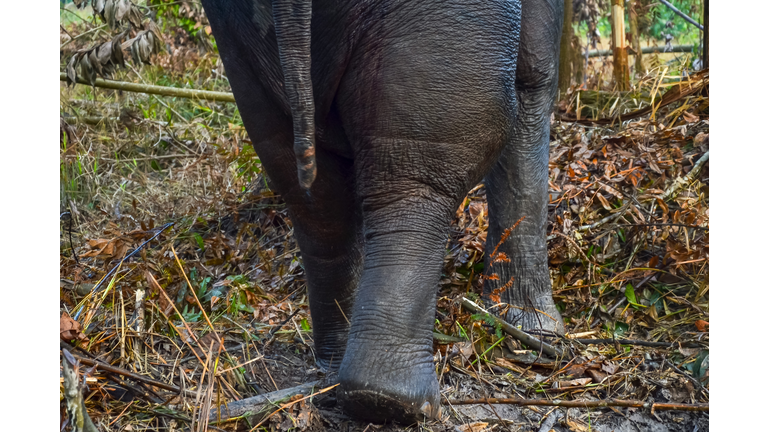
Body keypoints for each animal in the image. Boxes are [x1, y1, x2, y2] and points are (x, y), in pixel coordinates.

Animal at [201, 0, 568, 422]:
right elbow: (535, 75)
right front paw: (540, 332)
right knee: (424, 166)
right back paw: (390, 397)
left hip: (238, 34)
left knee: (309, 190)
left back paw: (335, 367)